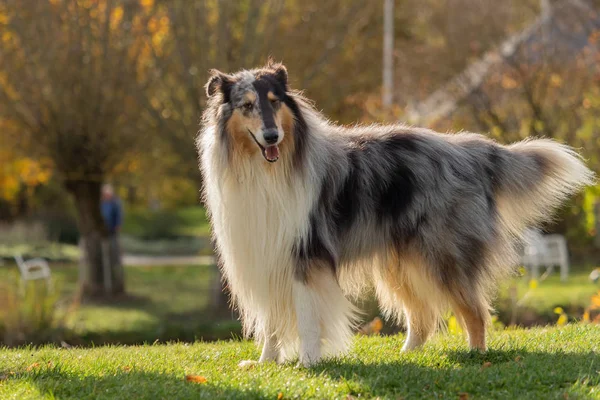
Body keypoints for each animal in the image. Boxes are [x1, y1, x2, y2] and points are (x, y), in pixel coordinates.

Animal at [198, 61, 596, 368]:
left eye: (274, 102)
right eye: (247, 105)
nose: (272, 136)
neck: (263, 171)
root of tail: (474, 150)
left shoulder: (306, 255)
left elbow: (309, 318)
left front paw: (309, 362)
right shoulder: (266, 256)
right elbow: (271, 322)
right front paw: (265, 362)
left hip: (442, 257)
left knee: (475, 311)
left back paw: (476, 356)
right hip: (404, 263)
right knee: (422, 318)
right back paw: (407, 357)